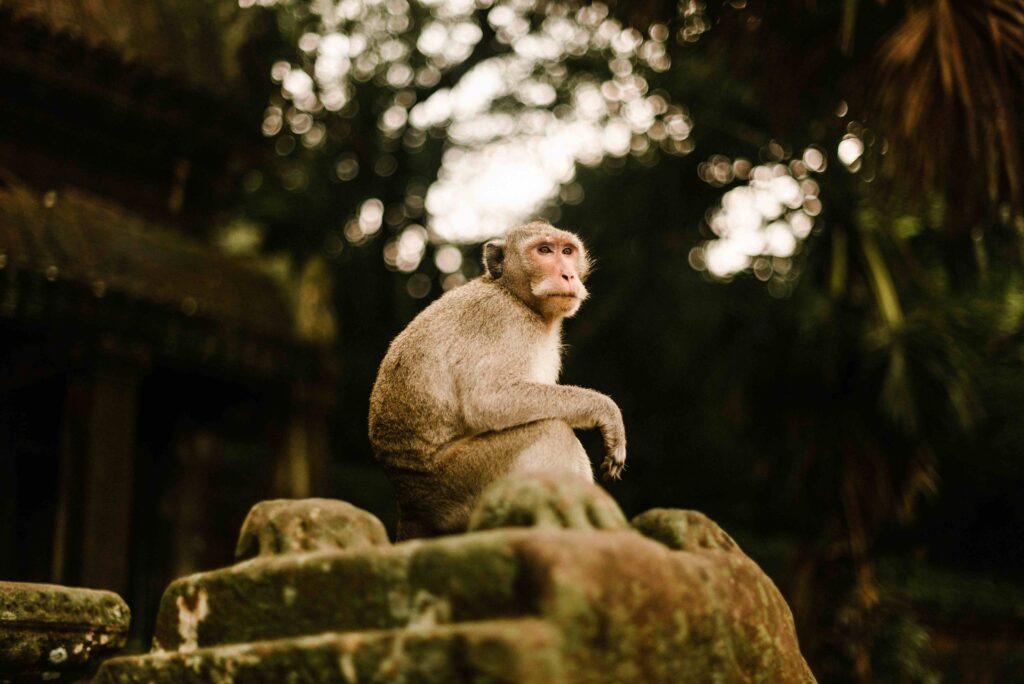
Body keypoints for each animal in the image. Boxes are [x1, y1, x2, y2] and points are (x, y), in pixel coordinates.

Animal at [368, 219, 622, 540]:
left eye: (567, 251)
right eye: (544, 250)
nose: (568, 274)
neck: (513, 295)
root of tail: (409, 508)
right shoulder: (502, 321)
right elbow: (488, 400)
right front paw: (605, 409)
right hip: (458, 485)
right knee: (551, 430)